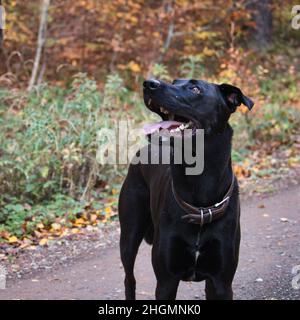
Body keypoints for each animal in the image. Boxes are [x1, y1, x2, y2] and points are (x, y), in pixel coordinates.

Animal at [118, 79, 253, 298]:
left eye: (195, 88)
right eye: (174, 81)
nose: (149, 83)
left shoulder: (222, 282)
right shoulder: (166, 282)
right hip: (129, 235)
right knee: (129, 279)